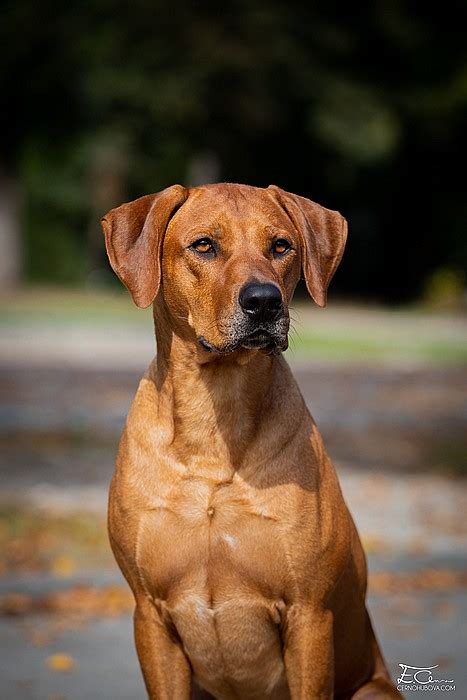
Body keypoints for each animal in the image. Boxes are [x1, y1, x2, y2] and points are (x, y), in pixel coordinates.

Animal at [102, 183, 402, 696]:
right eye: (204, 245)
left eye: (280, 246)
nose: (264, 301)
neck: (214, 426)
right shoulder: (150, 614)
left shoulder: (309, 615)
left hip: (373, 688)